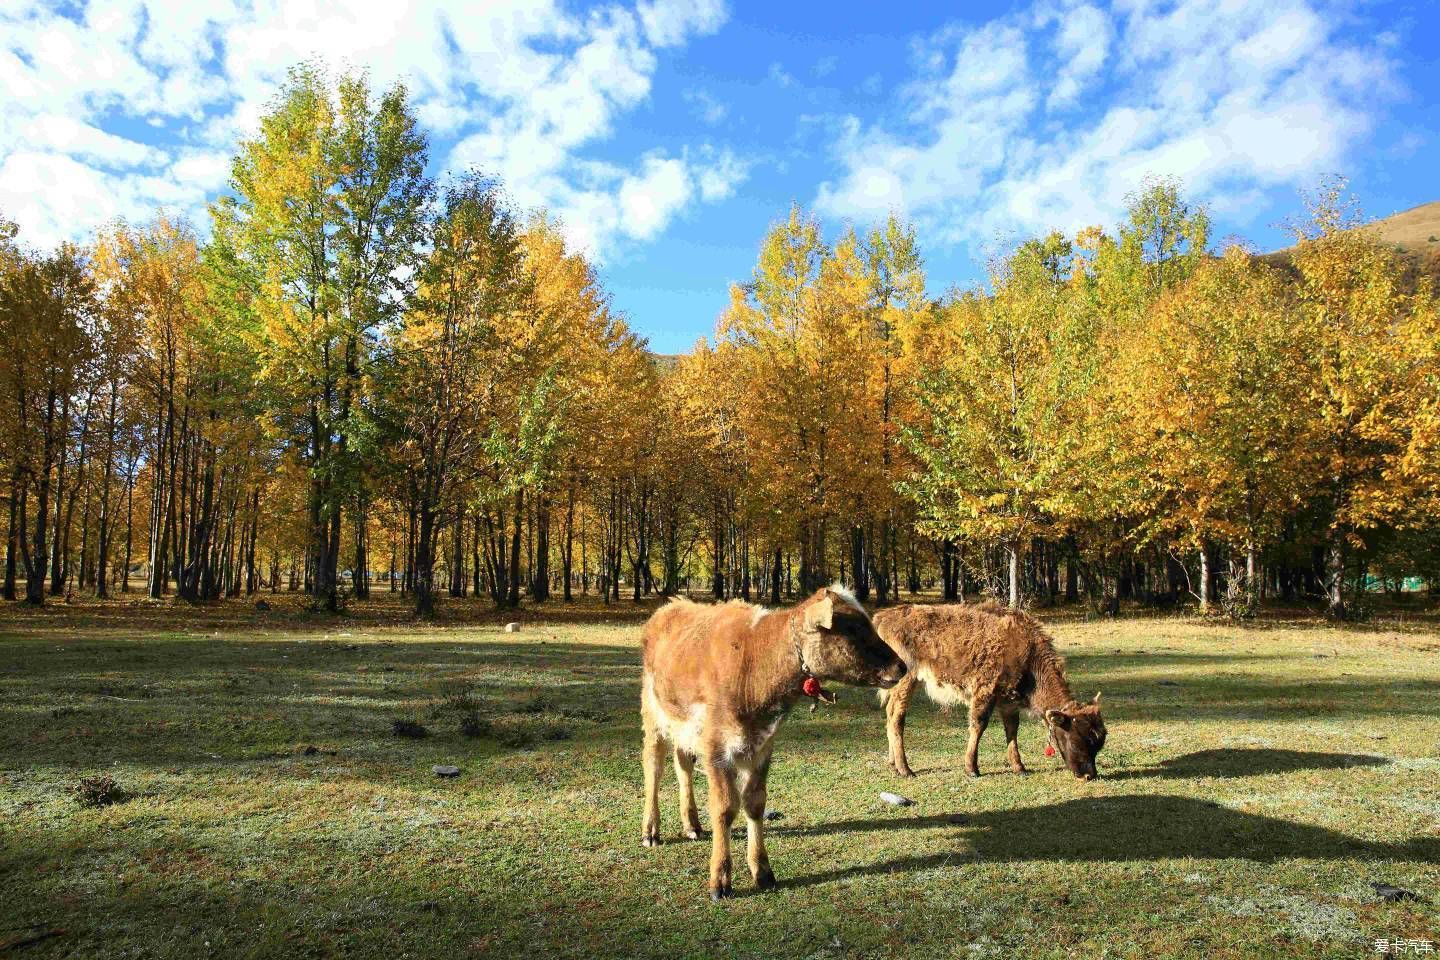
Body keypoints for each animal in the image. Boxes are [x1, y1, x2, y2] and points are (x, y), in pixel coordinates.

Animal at [645, 587, 904, 903]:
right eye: (853, 629)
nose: (902, 666)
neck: (755, 666)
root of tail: (672, 606)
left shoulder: (762, 746)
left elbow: (755, 803)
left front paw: (763, 871)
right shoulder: (717, 747)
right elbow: (725, 809)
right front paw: (719, 879)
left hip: (684, 727)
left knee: (683, 765)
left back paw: (692, 825)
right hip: (653, 714)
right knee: (653, 768)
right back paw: (651, 830)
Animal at [869, 604, 1105, 782]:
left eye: (1099, 742)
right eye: (1079, 739)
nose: (1089, 775)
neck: (1027, 655)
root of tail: (883, 617)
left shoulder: (1009, 702)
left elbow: (1012, 731)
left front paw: (1019, 767)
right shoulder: (985, 692)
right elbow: (978, 725)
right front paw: (972, 769)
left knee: (890, 715)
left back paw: (893, 764)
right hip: (906, 680)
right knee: (896, 718)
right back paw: (905, 769)